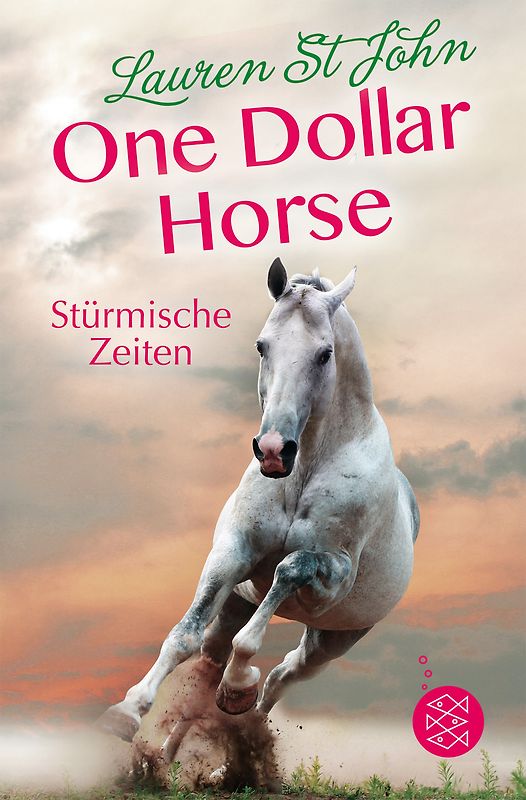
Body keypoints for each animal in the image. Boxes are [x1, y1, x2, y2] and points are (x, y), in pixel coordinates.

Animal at [97, 257, 420, 753]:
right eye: (262, 345)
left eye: (325, 353)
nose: (272, 451)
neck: (303, 470)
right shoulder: (232, 553)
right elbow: (183, 636)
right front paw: (126, 713)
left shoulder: (332, 577)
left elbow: (286, 574)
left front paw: (238, 684)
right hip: (235, 606)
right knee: (206, 671)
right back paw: (170, 757)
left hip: (331, 641)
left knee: (281, 677)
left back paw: (238, 723)